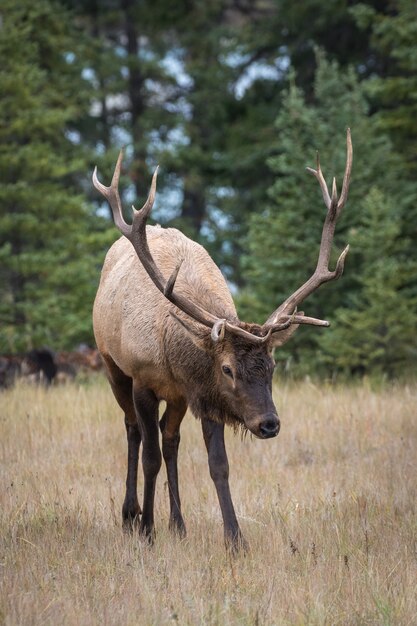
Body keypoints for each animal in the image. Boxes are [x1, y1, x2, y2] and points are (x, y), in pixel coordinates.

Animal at [92, 129, 352, 548]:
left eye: (272, 366)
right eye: (227, 369)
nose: (269, 424)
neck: (173, 352)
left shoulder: (203, 394)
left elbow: (219, 466)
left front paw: (235, 540)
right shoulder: (145, 380)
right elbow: (148, 457)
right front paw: (147, 530)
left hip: (177, 398)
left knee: (169, 439)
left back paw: (178, 524)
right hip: (111, 364)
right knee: (134, 432)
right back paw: (131, 516)